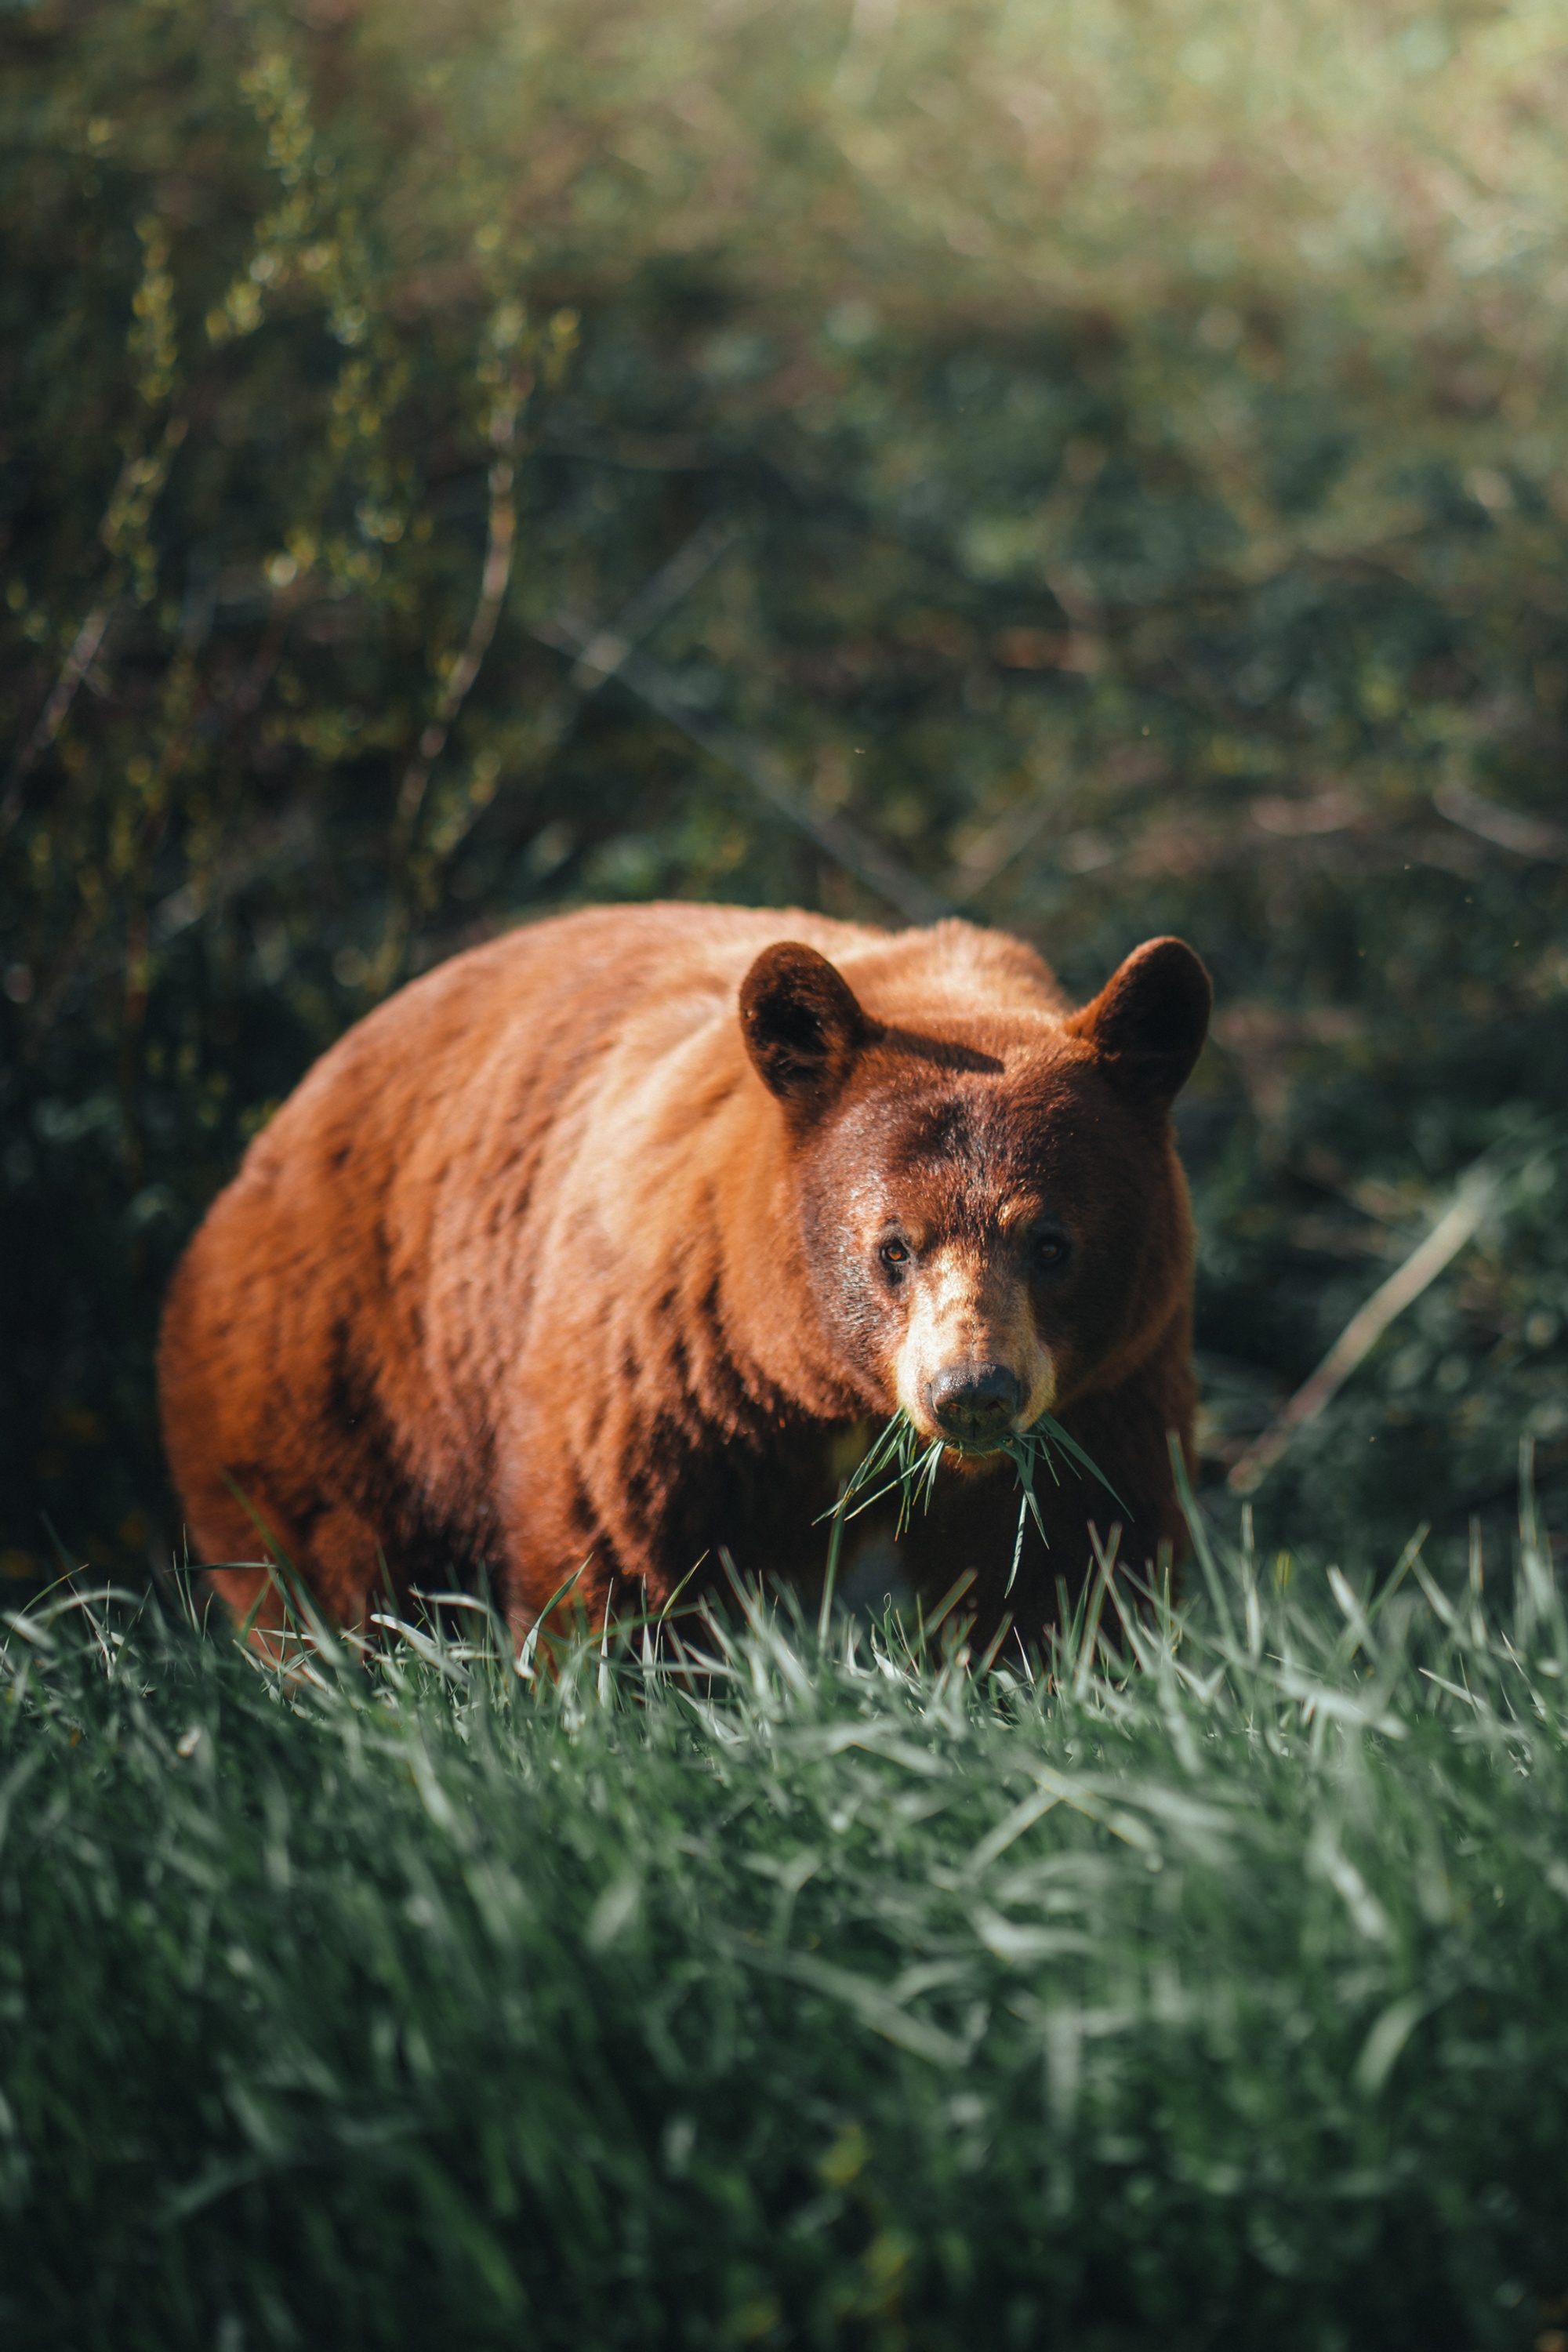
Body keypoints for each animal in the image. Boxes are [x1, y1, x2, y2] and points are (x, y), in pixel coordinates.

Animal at [157, 903, 1211, 1651]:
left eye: (1050, 1242)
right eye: (893, 1247)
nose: (972, 1392)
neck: (821, 1388)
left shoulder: (1108, 1384)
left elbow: (1067, 1561)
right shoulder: (669, 1357)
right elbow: (619, 1559)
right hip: (330, 1374)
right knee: (326, 1581)